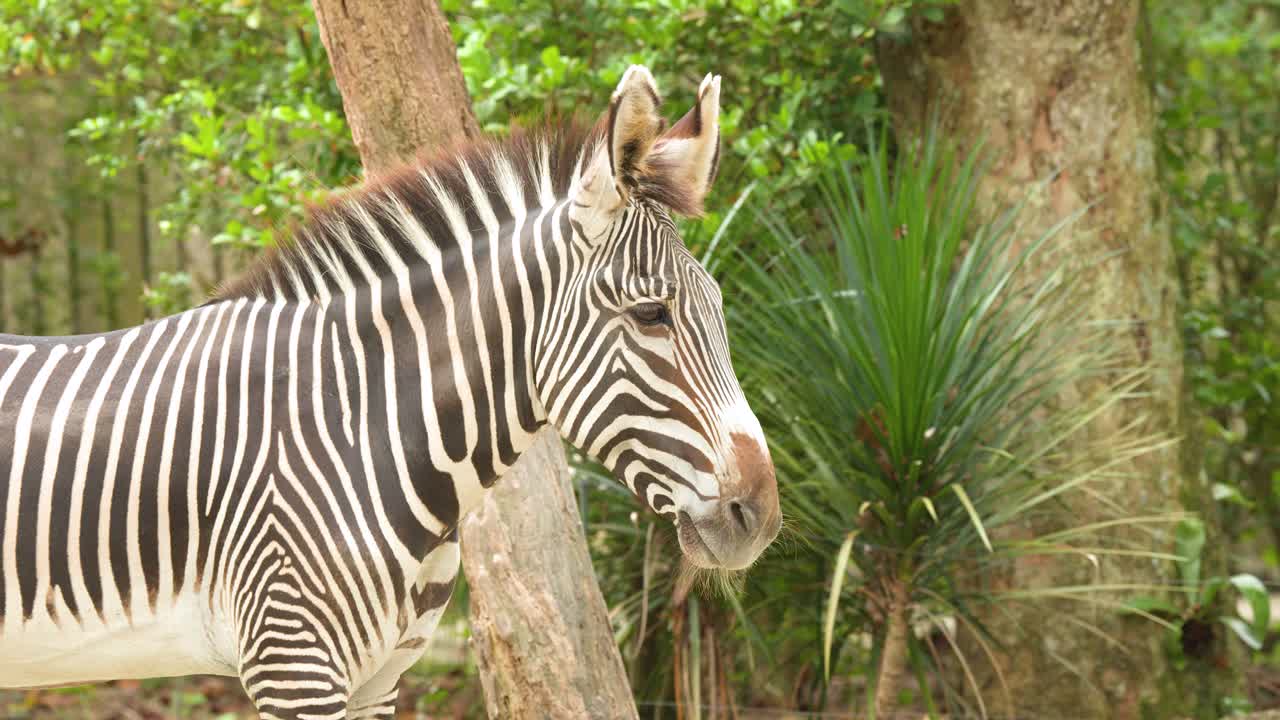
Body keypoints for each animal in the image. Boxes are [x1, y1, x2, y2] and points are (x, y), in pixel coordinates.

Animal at [0, 66, 780, 718]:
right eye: (651, 314)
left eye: (718, 306)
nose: (761, 518)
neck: (354, 423)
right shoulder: (293, 664)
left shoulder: (380, 676)